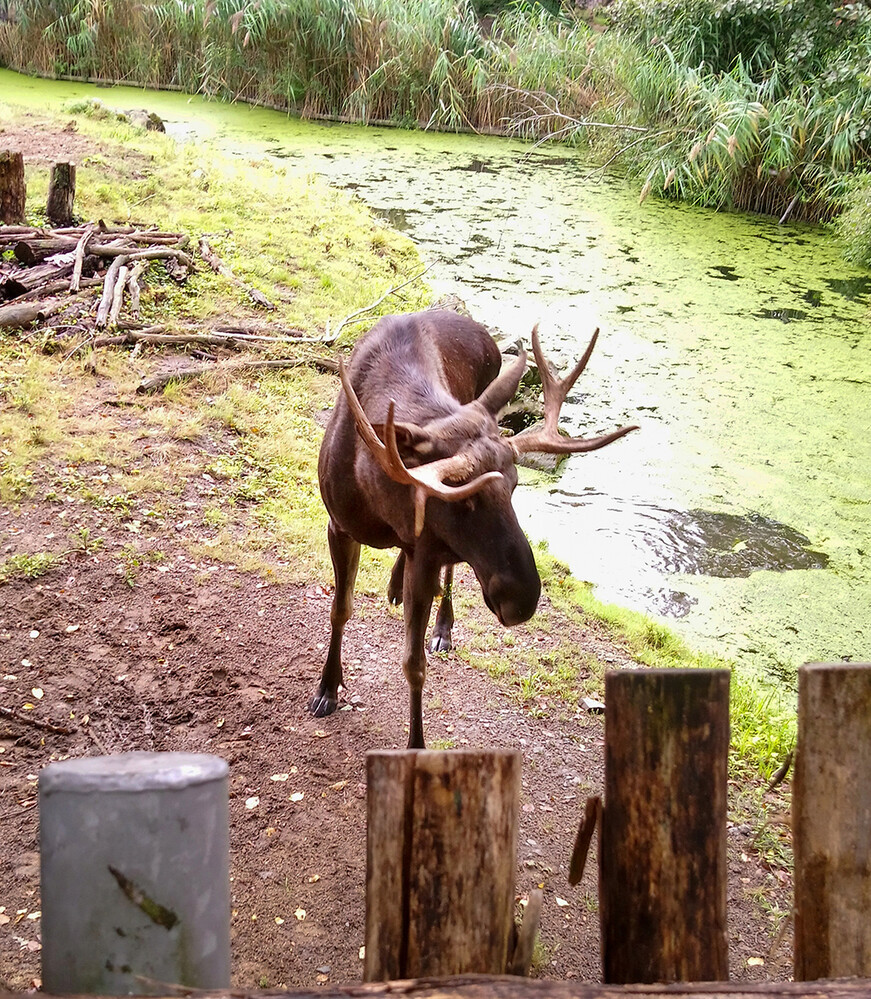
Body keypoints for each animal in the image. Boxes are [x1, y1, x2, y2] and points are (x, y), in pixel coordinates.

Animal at [310, 308, 636, 748]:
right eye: (460, 497)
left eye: (515, 485)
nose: (522, 599)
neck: (378, 499)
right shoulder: (339, 525)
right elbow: (340, 609)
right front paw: (327, 688)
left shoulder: (428, 550)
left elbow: (414, 662)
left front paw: (416, 745)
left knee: (447, 576)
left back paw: (441, 625)